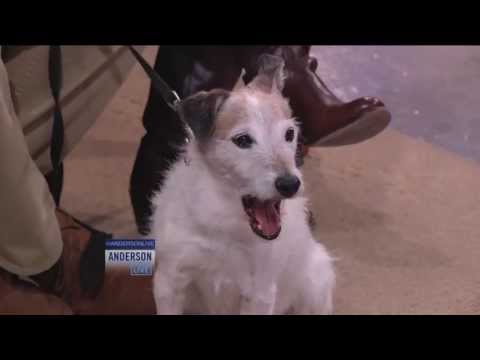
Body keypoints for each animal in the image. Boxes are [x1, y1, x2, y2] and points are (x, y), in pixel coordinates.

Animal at [149, 54, 334, 314]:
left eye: (289, 134)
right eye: (243, 140)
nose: (290, 184)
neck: (226, 225)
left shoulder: (259, 294)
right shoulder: (170, 281)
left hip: (316, 283)